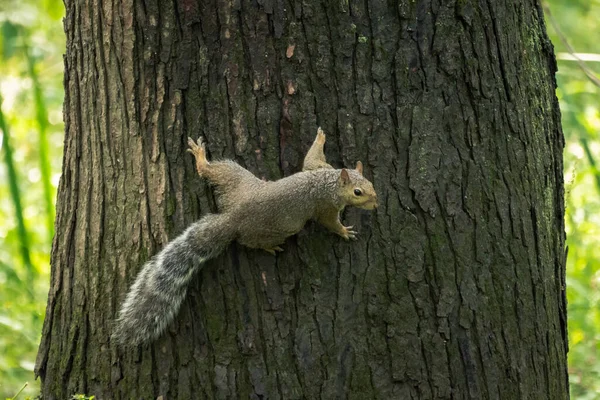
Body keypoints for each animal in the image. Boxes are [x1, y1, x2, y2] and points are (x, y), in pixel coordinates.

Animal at [110, 128, 378, 346]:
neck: (330, 182)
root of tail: (234, 216)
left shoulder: (319, 168)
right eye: (358, 192)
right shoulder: (325, 206)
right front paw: (344, 231)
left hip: (234, 179)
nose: (376, 204)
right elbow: (329, 222)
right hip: (275, 225)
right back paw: (269, 247)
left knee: (211, 171)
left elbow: (310, 158)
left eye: (371, 184)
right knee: (248, 241)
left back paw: (200, 157)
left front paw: (319, 139)